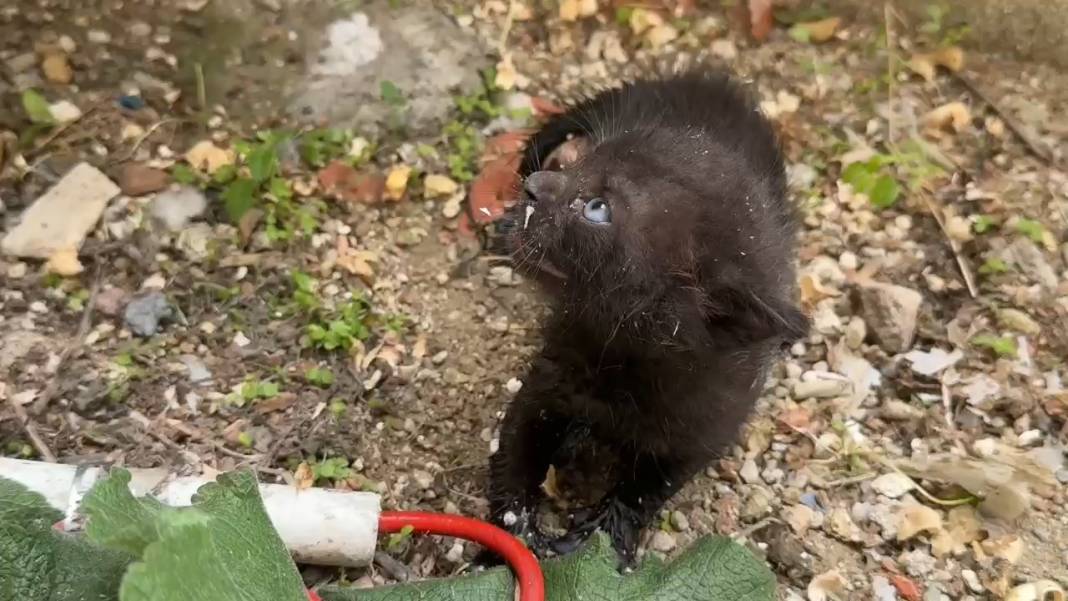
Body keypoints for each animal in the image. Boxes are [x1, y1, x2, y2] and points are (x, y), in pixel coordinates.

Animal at [489, 69, 803, 563]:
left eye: (597, 208)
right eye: (577, 165)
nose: (534, 187)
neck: (625, 354)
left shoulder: (704, 427)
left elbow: (647, 487)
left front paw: (599, 535)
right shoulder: (545, 383)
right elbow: (516, 447)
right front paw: (515, 533)